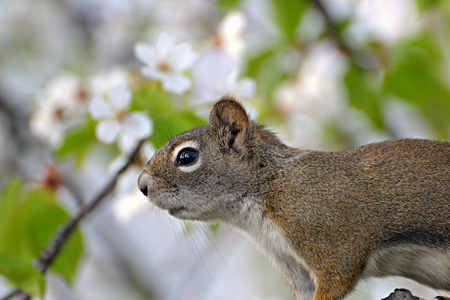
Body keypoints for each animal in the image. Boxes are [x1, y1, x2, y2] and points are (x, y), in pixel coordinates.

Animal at [137, 97, 450, 300]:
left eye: (187, 157)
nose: (142, 185)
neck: (270, 187)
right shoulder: (292, 266)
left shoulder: (330, 241)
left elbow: (337, 278)